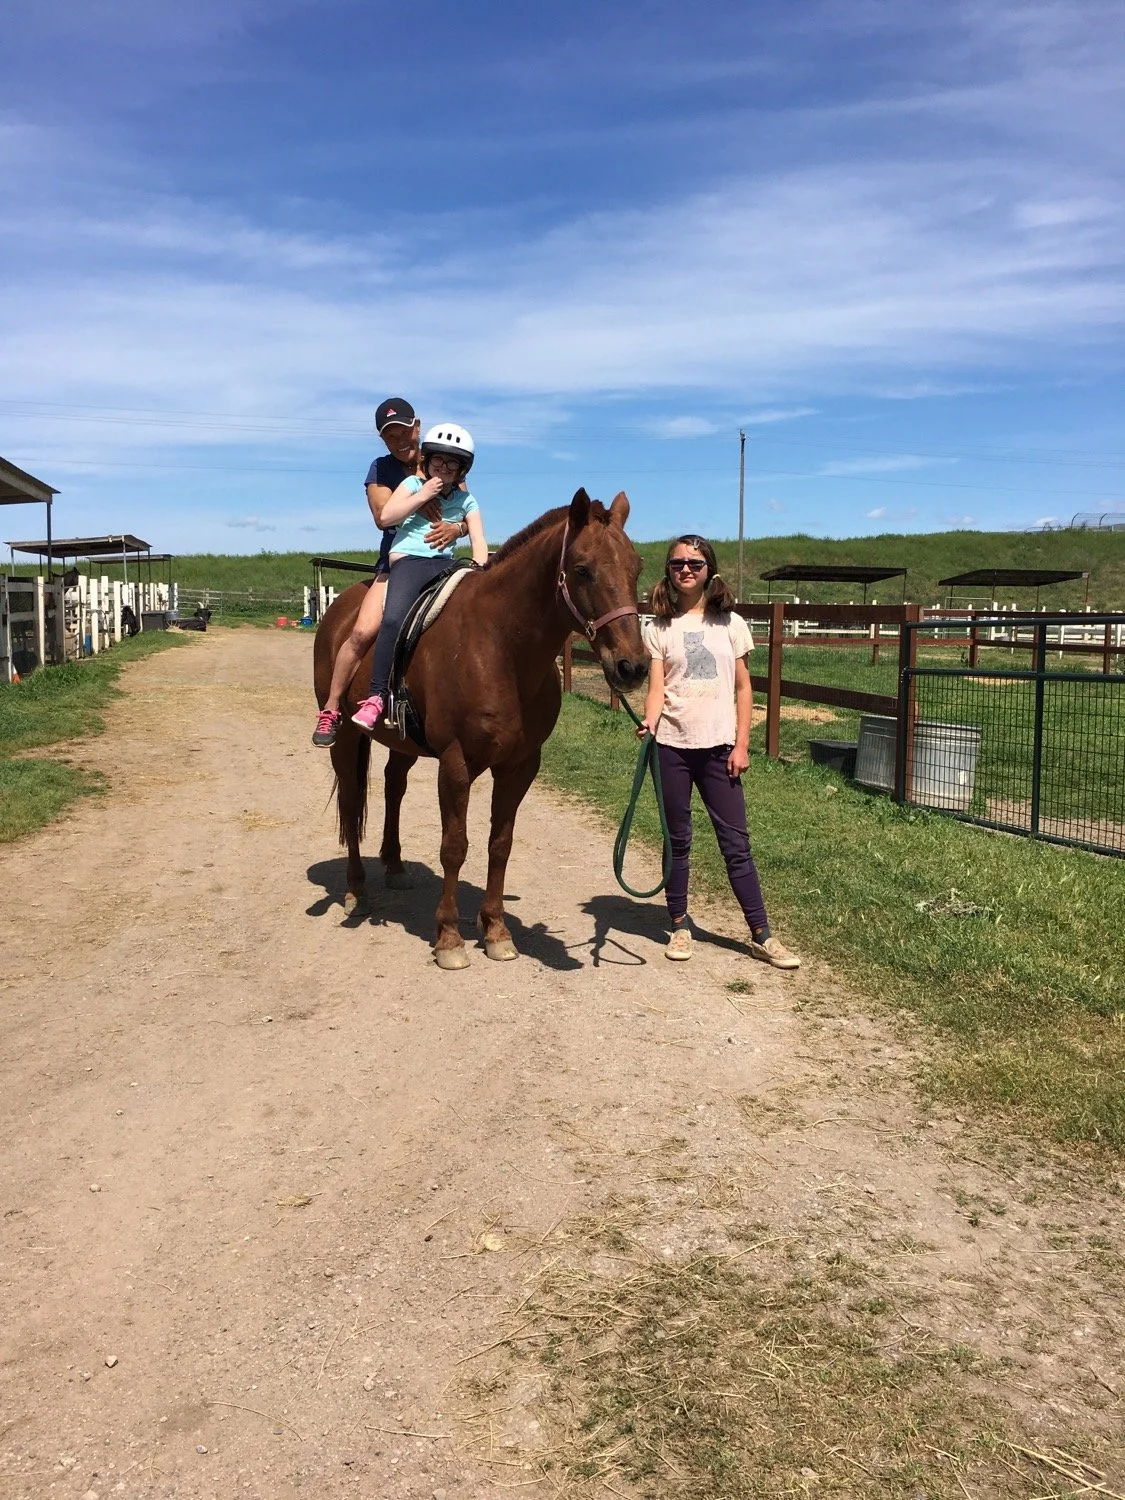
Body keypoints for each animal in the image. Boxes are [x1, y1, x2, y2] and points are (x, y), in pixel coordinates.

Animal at [313, 488, 647, 969]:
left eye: (636, 567)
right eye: (583, 569)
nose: (632, 667)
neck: (500, 645)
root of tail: (341, 607)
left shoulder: (520, 766)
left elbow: (499, 844)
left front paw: (496, 930)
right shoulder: (456, 763)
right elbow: (455, 846)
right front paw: (450, 937)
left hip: (404, 743)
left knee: (394, 786)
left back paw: (394, 865)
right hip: (345, 734)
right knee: (353, 796)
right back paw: (356, 890)